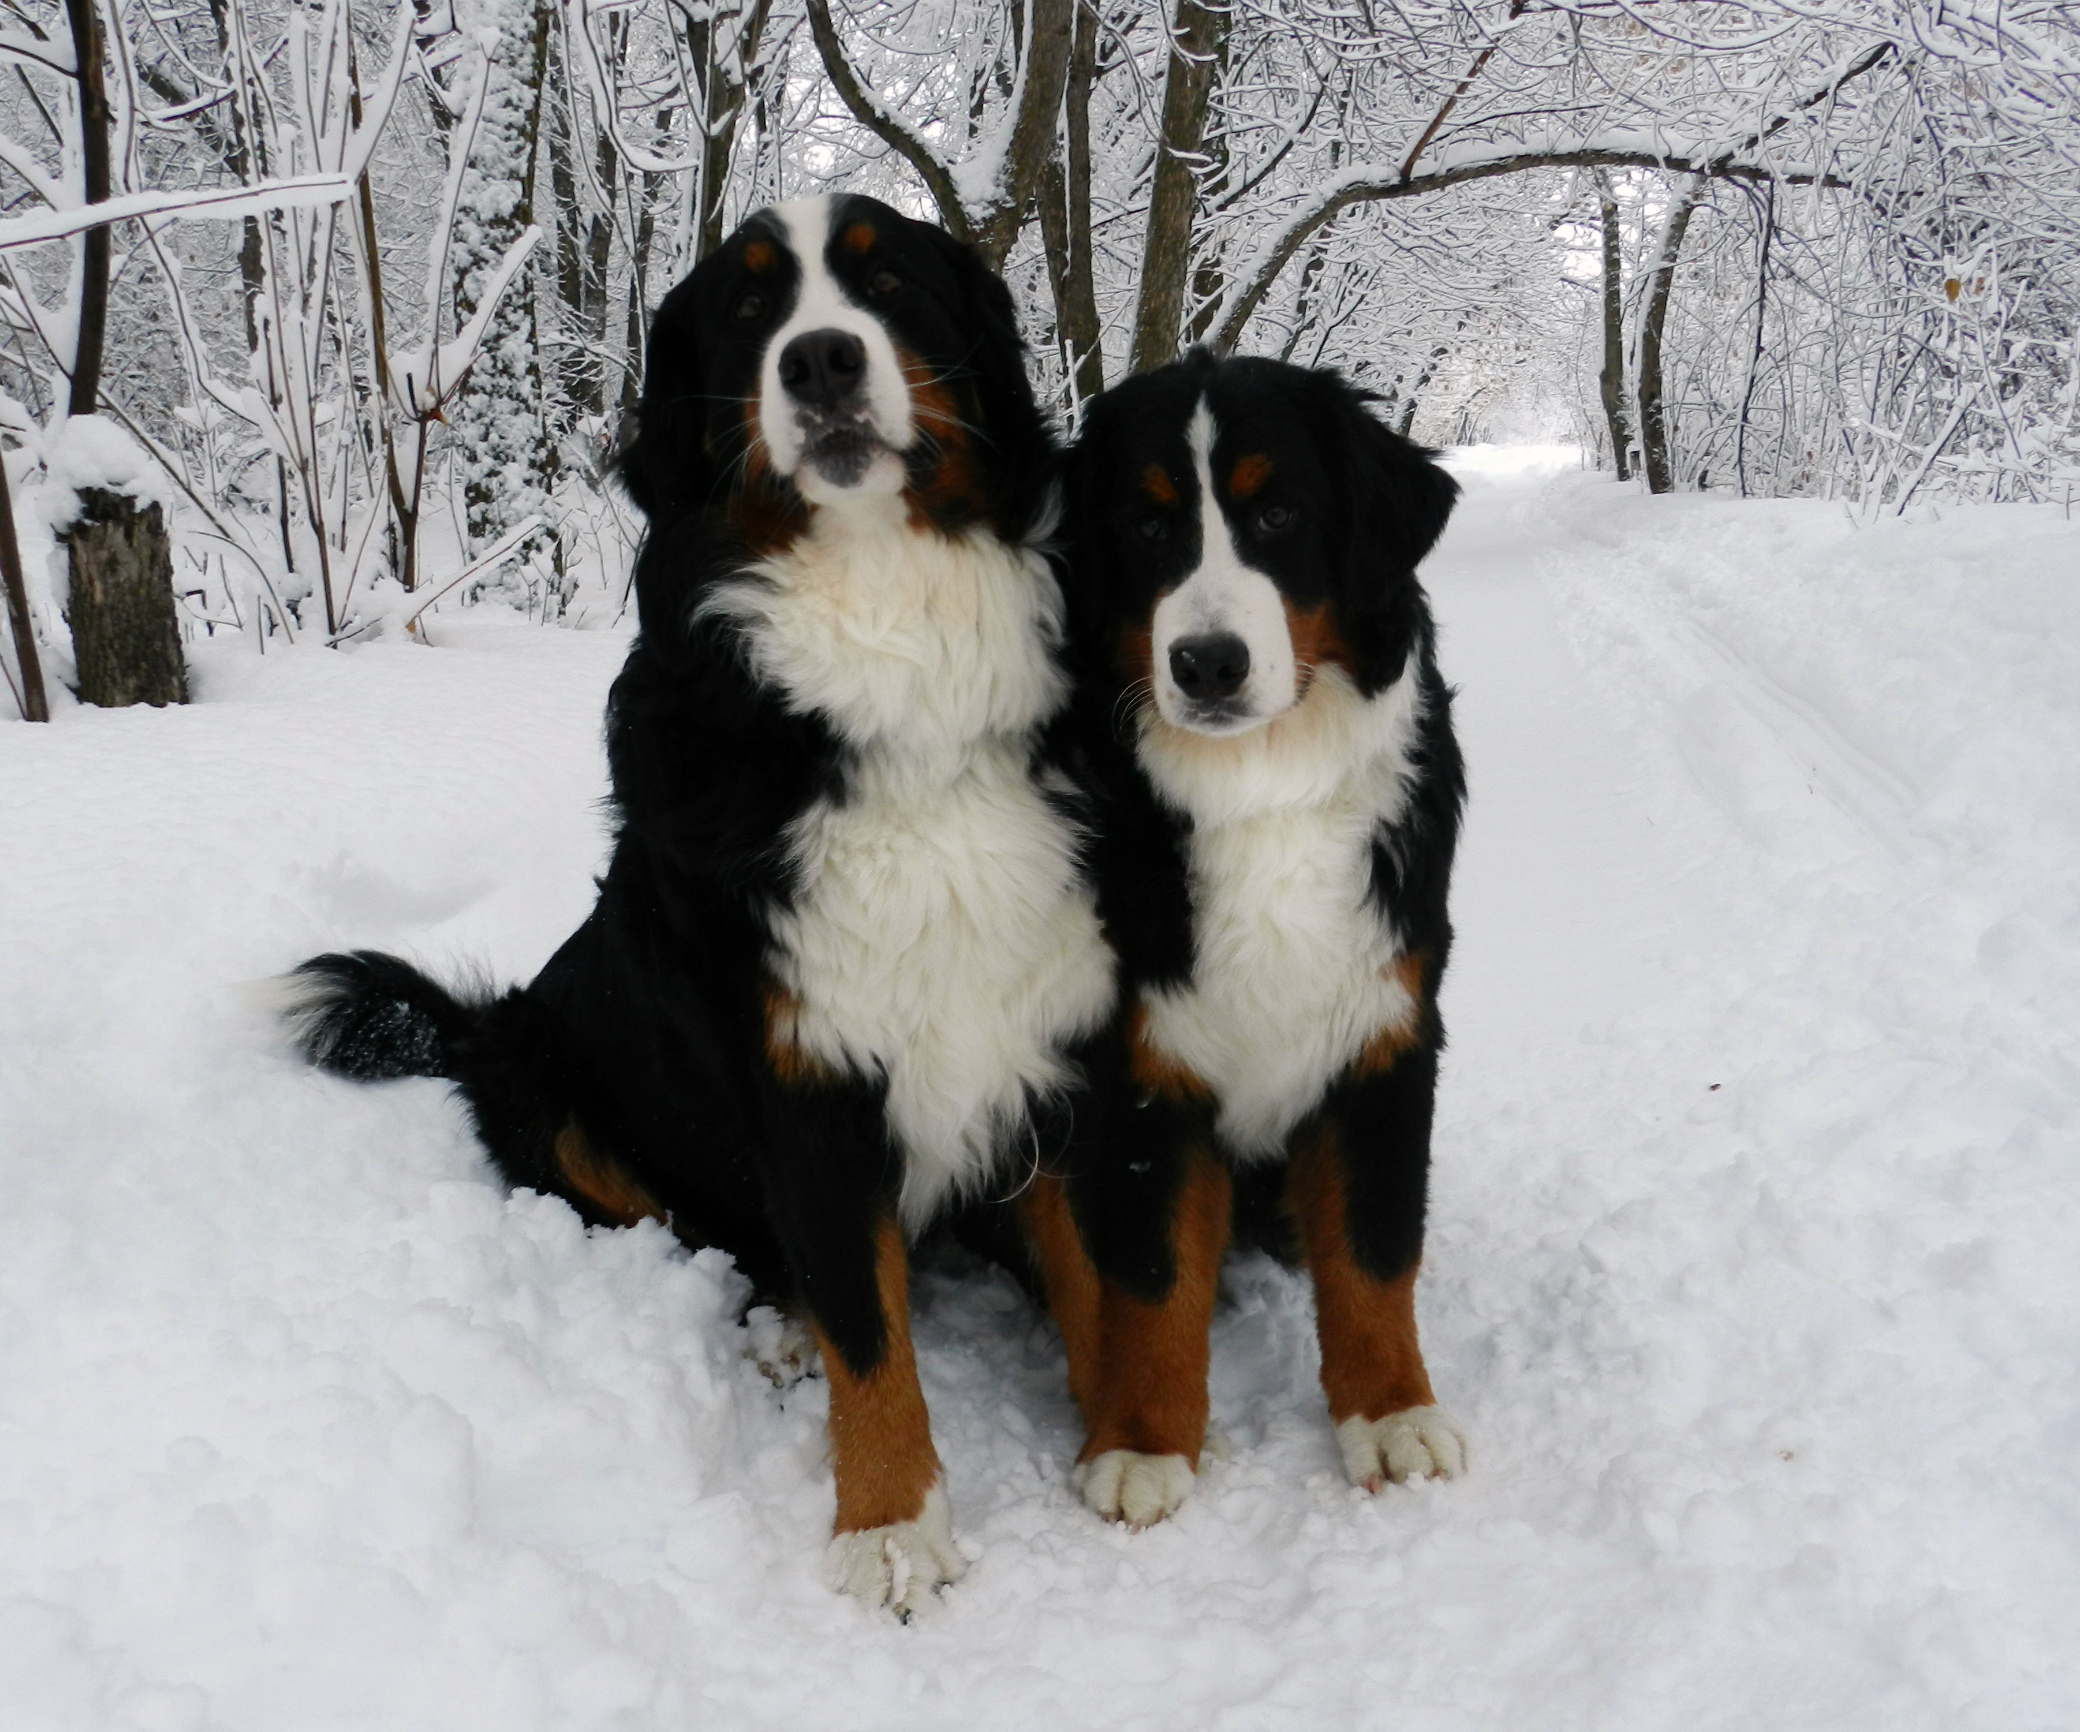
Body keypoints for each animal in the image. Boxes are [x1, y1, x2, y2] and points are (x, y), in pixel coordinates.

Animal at [278, 195, 1118, 1616]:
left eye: (889, 284)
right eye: (749, 310)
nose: (820, 360)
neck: (889, 644)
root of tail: (484, 1024)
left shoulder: (1046, 1019)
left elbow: (1090, 1263)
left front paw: (1137, 1435)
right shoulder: (806, 1067)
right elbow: (862, 1321)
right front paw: (890, 1526)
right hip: (552, 1093)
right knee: (723, 1251)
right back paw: (776, 1331)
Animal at [1055, 349, 1467, 1528]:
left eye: (1278, 513)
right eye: (1147, 527)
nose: (1207, 661)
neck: (1264, 793)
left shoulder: (1387, 1029)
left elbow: (1373, 1248)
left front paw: (1393, 1414)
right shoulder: (1137, 1060)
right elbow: (1150, 1274)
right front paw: (1146, 1442)